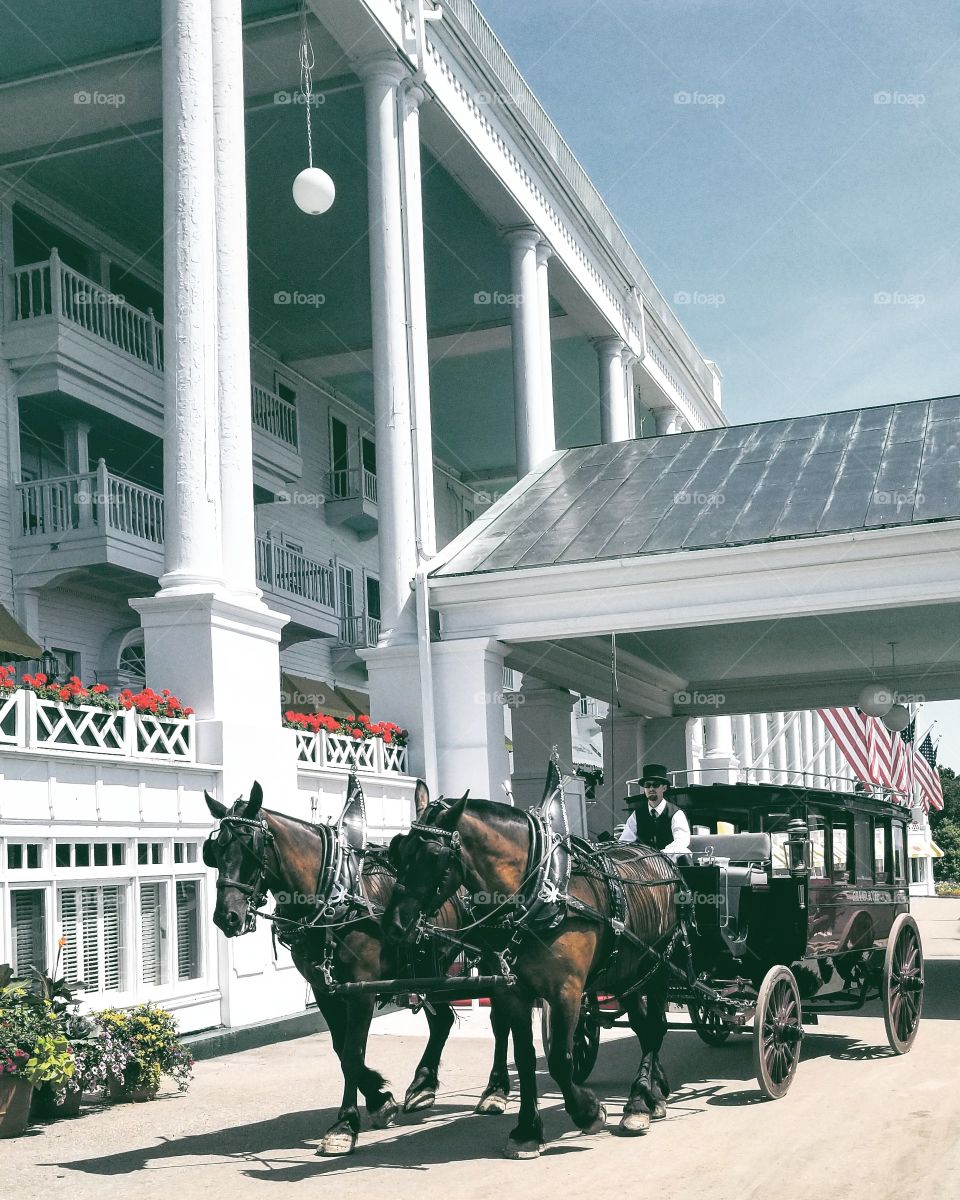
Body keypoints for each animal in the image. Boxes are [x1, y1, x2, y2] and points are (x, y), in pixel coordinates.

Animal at [204, 777, 518, 1152]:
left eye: (250, 848)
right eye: (214, 851)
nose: (227, 917)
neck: (333, 894)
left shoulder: (361, 990)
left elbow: (353, 1051)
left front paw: (345, 1123)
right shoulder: (325, 989)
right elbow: (341, 1049)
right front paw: (380, 1098)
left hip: (492, 960)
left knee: (500, 1020)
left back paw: (495, 1091)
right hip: (429, 969)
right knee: (442, 1020)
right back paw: (423, 1086)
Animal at [379, 772, 676, 1156]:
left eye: (434, 855)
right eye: (398, 848)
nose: (393, 925)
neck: (539, 892)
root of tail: (656, 854)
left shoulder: (566, 991)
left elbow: (561, 1059)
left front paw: (587, 1112)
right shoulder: (511, 992)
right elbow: (523, 1054)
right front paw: (526, 1129)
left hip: (657, 967)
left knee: (654, 1028)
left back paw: (640, 1101)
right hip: (626, 973)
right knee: (644, 1027)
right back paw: (653, 1093)